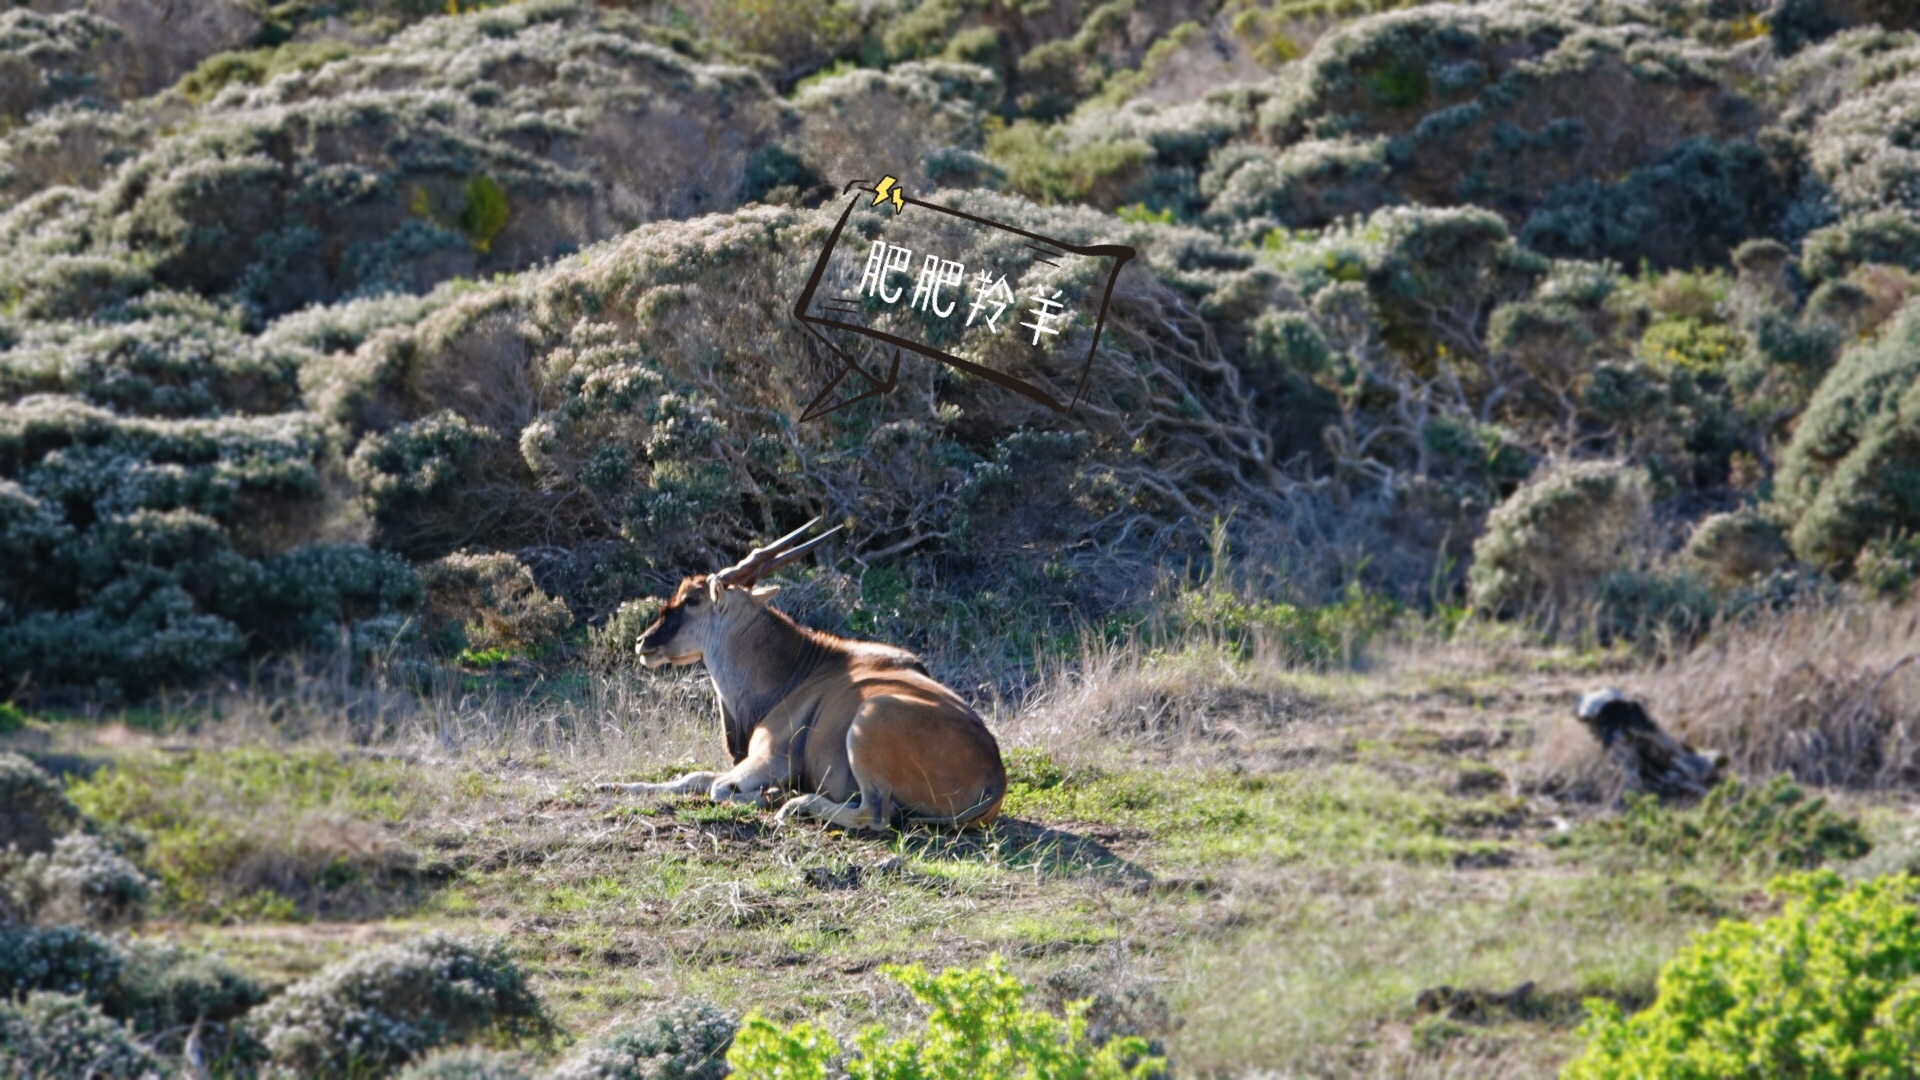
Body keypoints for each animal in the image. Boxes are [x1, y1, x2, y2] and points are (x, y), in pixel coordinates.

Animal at [602, 518, 1013, 826]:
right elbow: (692, 778)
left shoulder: (768, 760)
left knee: (876, 814)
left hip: (872, 716)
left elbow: (716, 786)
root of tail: (995, 774)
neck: (794, 670)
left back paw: (794, 804)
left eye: (691, 600)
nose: (643, 642)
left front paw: (768, 795)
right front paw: (617, 787)